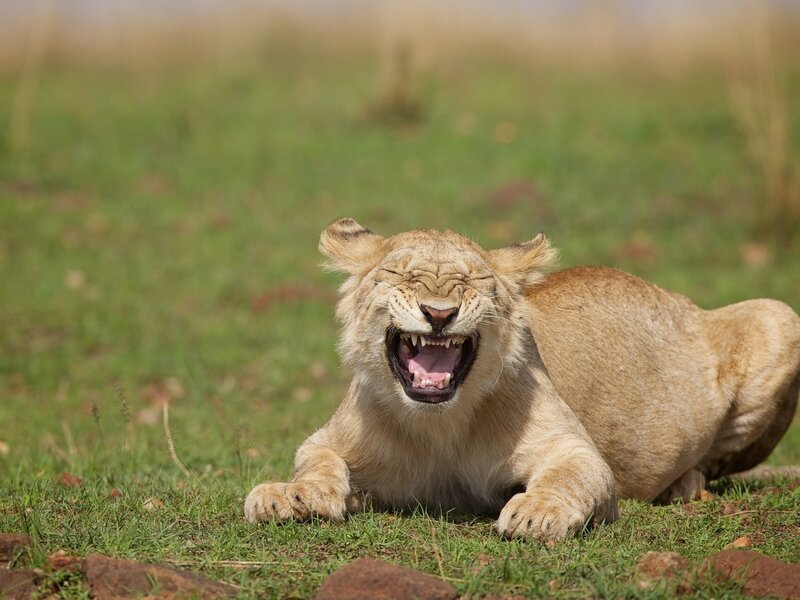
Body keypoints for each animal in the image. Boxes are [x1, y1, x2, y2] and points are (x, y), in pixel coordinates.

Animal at [245, 218, 800, 541]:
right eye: (402, 276)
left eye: (473, 282)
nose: (438, 313)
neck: (440, 425)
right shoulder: (331, 439)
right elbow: (314, 462)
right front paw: (287, 496)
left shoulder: (573, 448)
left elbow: (569, 477)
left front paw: (537, 512)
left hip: (779, 316)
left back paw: (684, 484)